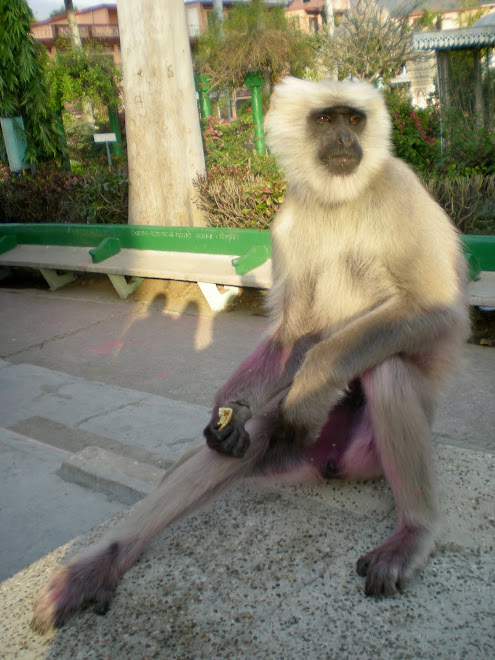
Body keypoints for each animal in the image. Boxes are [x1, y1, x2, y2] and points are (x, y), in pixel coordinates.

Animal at [32, 80, 468, 632]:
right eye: (326, 121)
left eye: (353, 118)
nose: (346, 140)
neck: (340, 199)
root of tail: (331, 464)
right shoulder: (291, 215)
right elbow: (292, 334)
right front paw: (230, 409)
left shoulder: (399, 186)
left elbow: (436, 308)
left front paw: (314, 378)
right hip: (296, 456)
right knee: (255, 436)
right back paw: (101, 563)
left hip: (367, 453)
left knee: (387, 370)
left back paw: (414, 531)